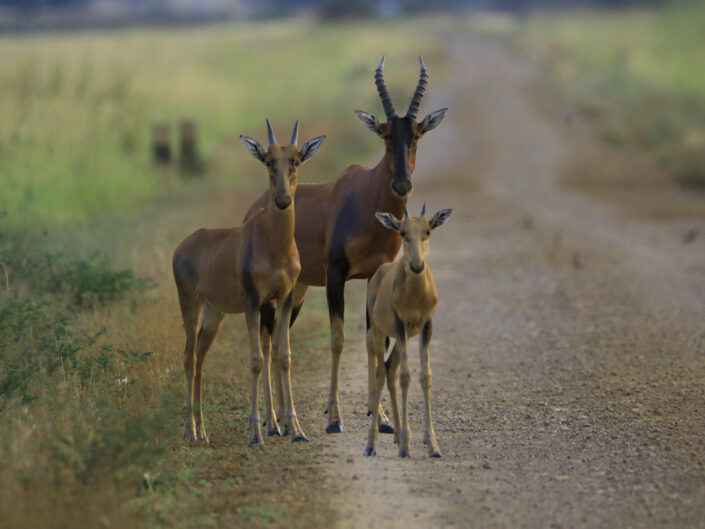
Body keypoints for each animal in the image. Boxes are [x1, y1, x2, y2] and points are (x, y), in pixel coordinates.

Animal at [172, 120, 326, 446]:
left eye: (296, 160)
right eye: (268, 160)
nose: (283, 200)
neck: (273, 243)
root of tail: (183, 246)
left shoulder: (284, 298)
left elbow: (283, 356)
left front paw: (296, 430)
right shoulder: (252, 302)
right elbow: (256, 359)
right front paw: (256, 432)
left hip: (214, 313)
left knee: (201, 358)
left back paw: (203, 431)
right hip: (189, 304)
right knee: (189, 358)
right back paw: (190, 432)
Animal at [245, 55, 448, 434]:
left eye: (416, 135)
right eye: (384, 135)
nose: (402, 184)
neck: (365, 196)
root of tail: (256, 206)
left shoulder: (373, 276)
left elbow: (374, 340)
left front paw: (381, 418)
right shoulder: (336, 275)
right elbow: (337, 339)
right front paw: (334, 419)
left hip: (298, 290)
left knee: (279, 337)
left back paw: (285, 420)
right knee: (265, 341)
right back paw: (272, 422)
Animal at [364, 204, 452, 456]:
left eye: (428, 231)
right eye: (403, 232)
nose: (416, 266)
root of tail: (380, 272)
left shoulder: (424, 328)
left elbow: (425, 376)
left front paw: (432, 445)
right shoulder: (399, 325)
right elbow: (406, 377)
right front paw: (405, 447)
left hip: (403, 338)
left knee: (389, 370)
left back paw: (397, 434)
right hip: (378, 332)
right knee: (380, 372)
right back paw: (372, 444)